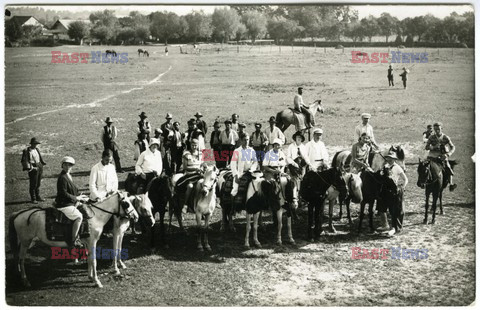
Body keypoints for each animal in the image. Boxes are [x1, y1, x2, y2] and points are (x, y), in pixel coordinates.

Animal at [9, 191, 138, 288]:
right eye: (126, 203)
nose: (135, 216)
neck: (96, 216)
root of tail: (19, 214)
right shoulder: (94, 241)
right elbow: (94, 260)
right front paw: (97, 281)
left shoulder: (89, 242)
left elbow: (90, 259)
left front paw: (91, 277)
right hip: (26, 242)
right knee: (21, 260)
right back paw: (25, 280)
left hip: (23, 242)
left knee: (17, 258)